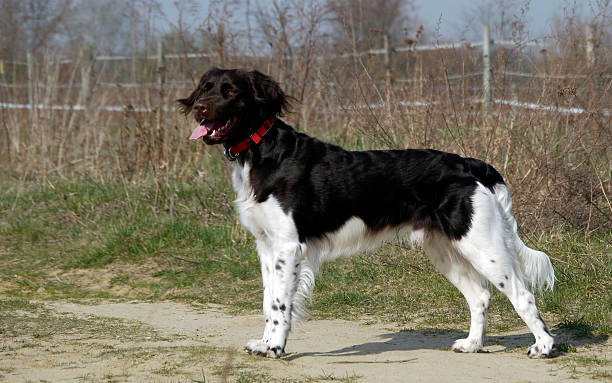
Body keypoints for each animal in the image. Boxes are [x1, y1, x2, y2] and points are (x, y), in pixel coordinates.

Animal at [177, 68, 556, 360]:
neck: (265, 152)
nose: (199, 108)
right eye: (206, 87)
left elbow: (281, 305)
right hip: (445, 249)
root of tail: (470, 165)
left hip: (483, 246)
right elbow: (269, 301)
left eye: (230, 91)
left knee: (523, 295)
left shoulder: (288, 246)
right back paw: (473, 344)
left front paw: (275, 349)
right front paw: (265, 343)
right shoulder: (267, 246)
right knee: (480, 296)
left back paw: (543, 347)